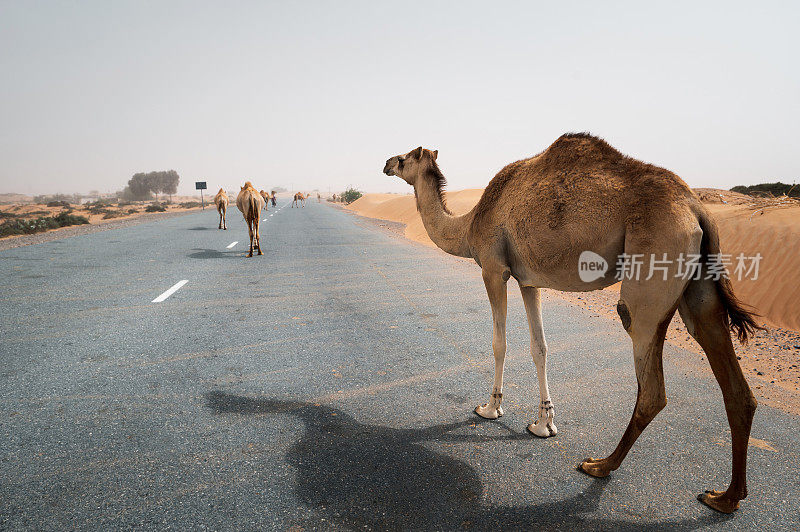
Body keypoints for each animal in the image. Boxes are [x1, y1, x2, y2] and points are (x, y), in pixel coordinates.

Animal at [386, 134, 764, 516]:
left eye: (404, 158)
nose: (386, 164)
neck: (470, 224)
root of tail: (696, 208)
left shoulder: (494, 268)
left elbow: (499, 343)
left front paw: (490, 408)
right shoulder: (528, 279)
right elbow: (539, 348)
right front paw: (543, 424)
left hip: (654, 265)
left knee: (650, 382)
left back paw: (599, 465)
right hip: (699, 285)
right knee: (732, 381)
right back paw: (725, 497)